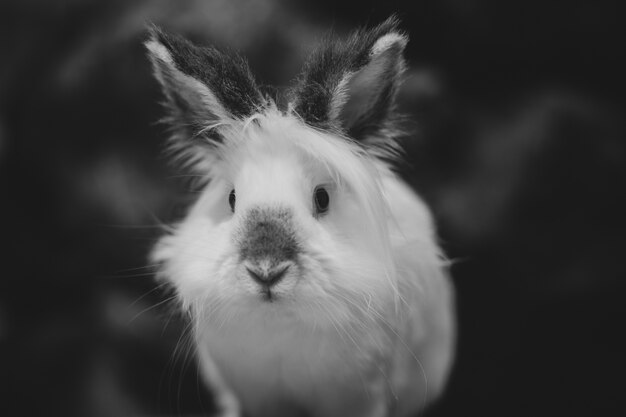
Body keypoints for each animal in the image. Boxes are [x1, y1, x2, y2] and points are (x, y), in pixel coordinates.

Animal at [145, 15, 454, 416]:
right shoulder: (250, 395)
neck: (281, 323)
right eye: (231, 198)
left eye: (322, 198)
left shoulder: (361, 398)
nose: (266, 271)